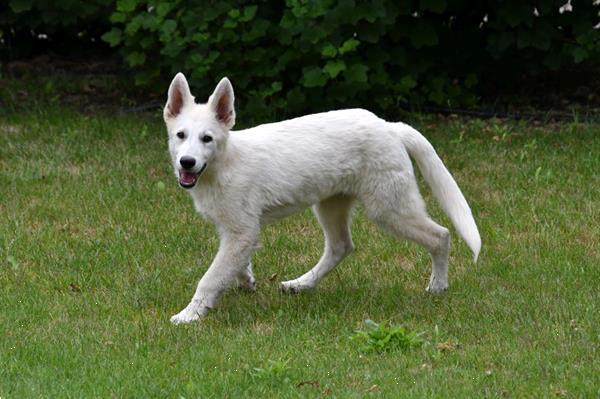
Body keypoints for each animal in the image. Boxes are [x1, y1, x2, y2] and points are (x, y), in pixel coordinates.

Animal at [162, 74, 480, 324]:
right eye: (180, 135)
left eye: (207, 139)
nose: (187, 163)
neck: (223, 164)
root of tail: (389, 126)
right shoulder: (237, 232)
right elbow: (232, 266)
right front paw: (246, 282)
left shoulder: (242, 231)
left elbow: (210, 277)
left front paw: (190, 315)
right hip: (331, 205)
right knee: (341, 247)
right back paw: (301, 285)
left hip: (388, 208)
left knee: (440, 236)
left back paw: (438, 287)